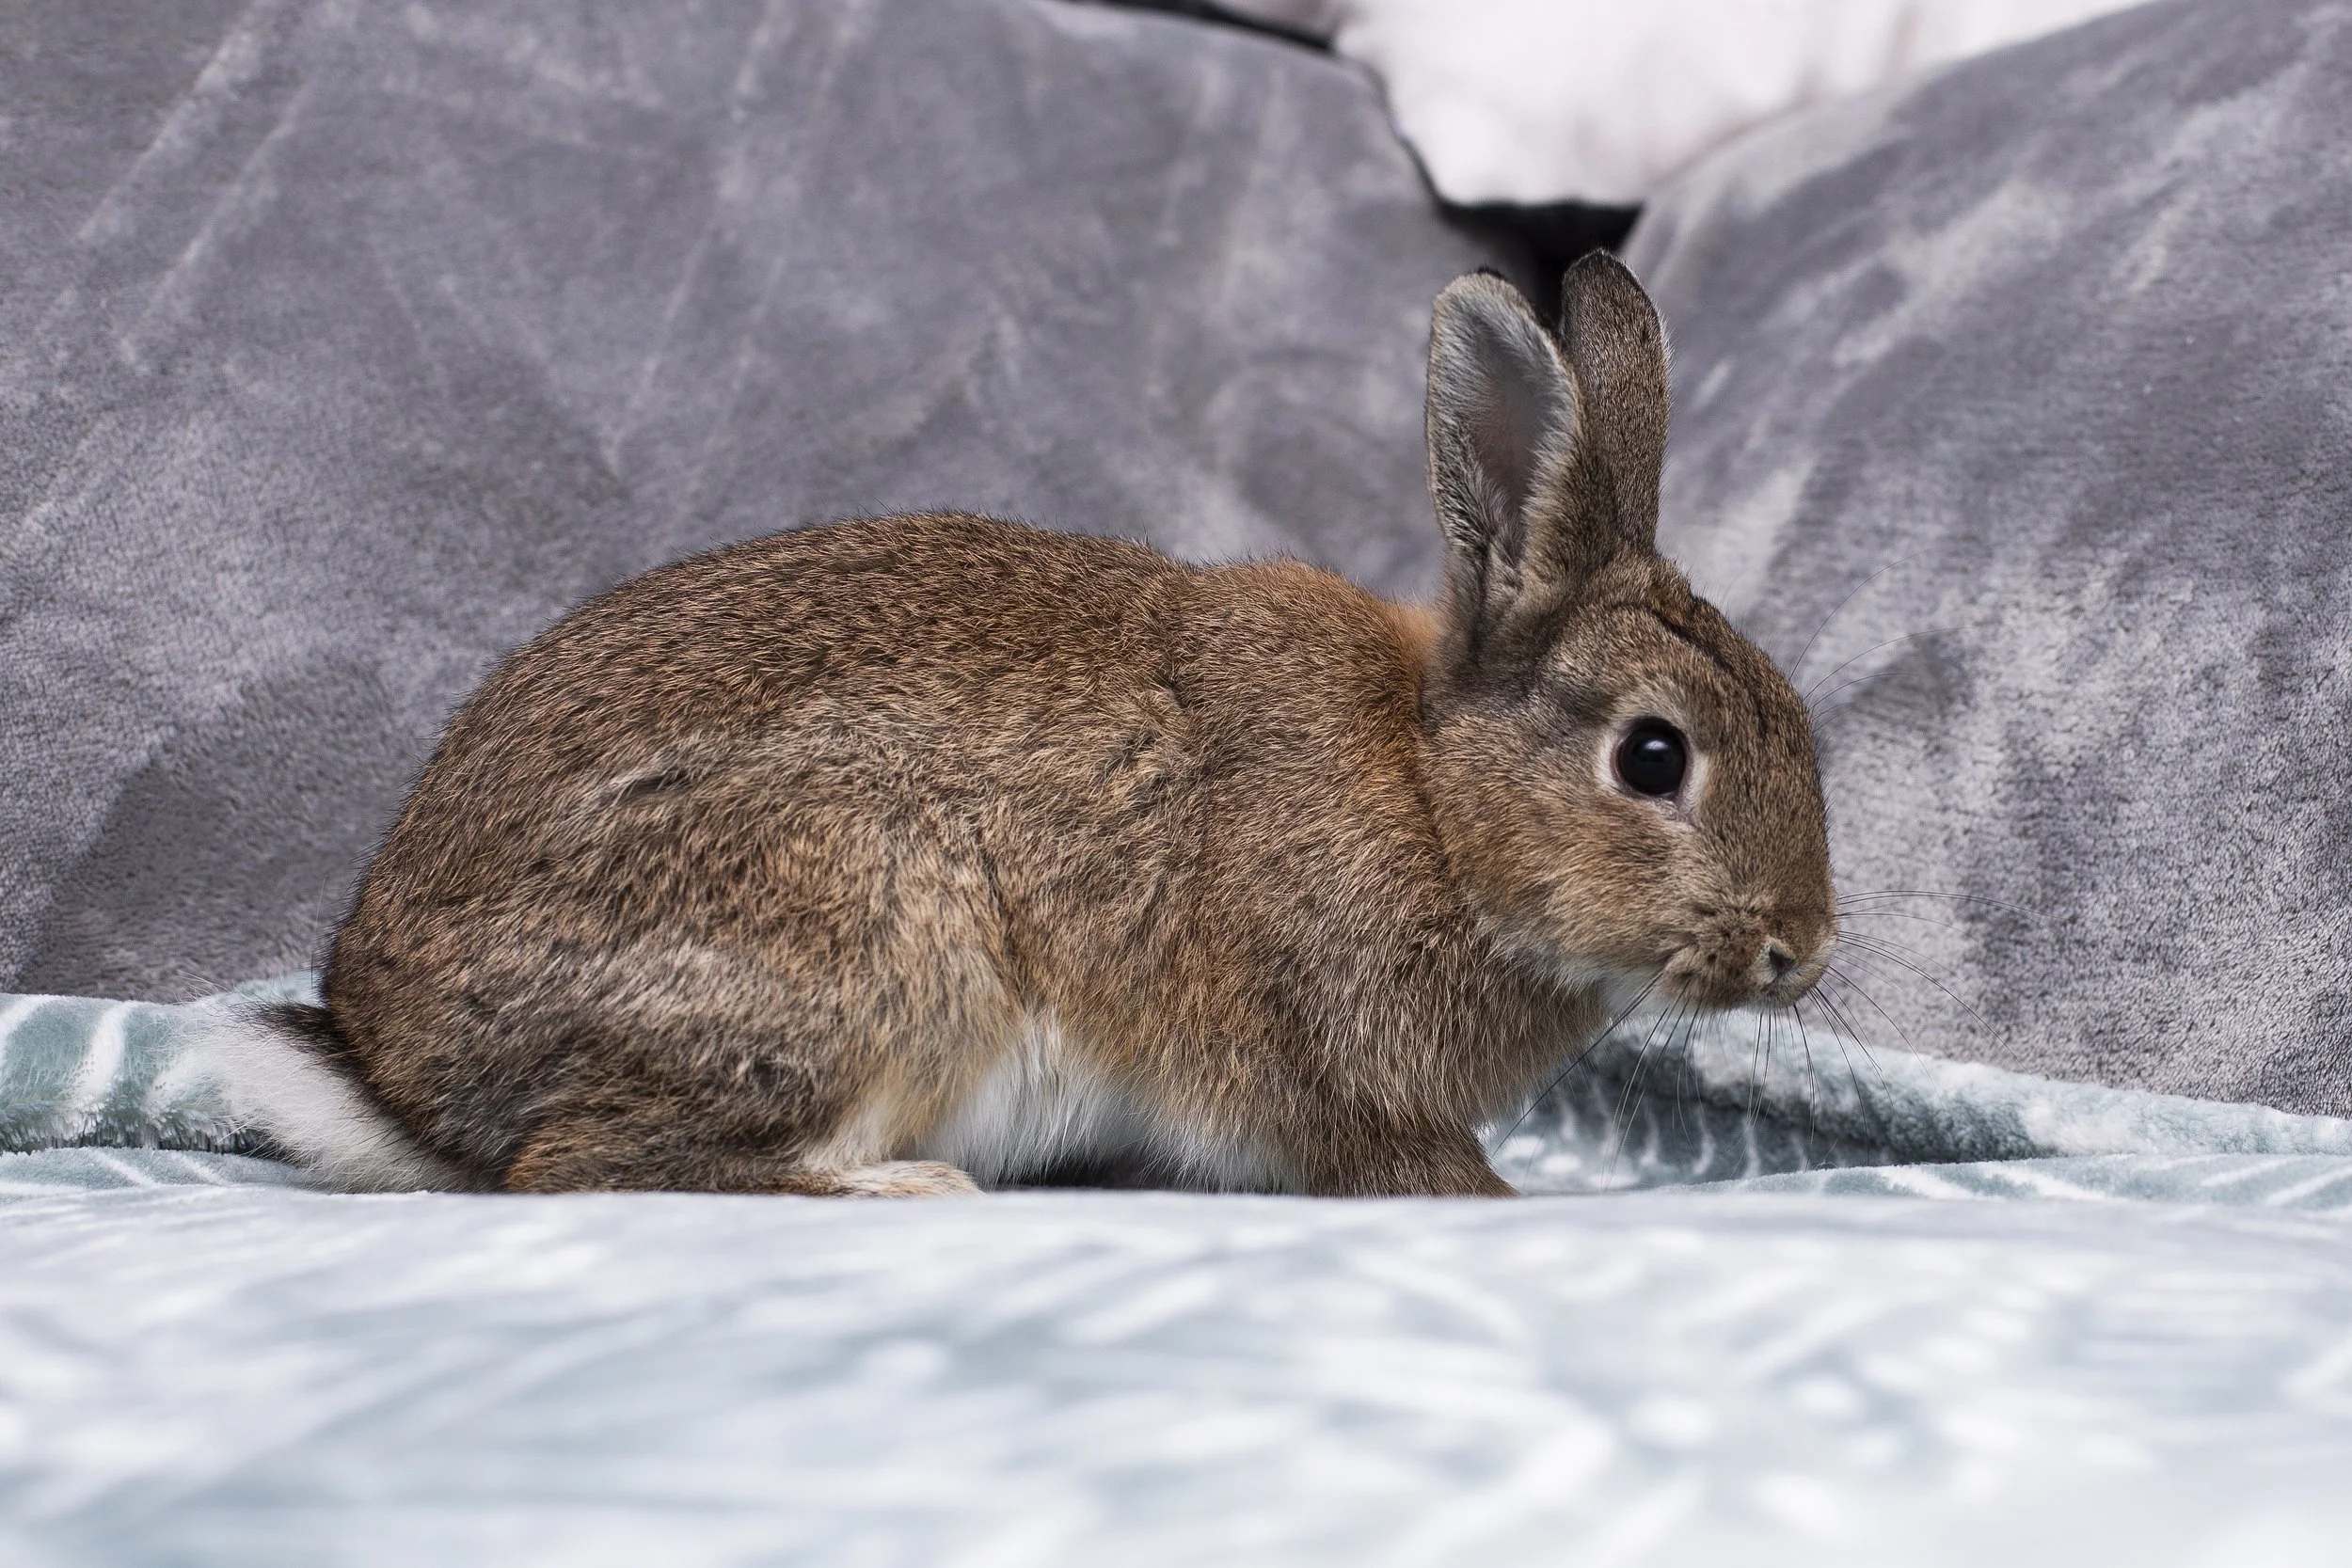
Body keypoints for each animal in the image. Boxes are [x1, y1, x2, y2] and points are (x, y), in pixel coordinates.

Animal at [211, 253, 1836, 1197]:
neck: (1438, 798)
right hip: (868, 940)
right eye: (1653, 755)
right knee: (586, 1162)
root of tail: (393, 1063)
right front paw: (1503, 1199)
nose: (1801, 948)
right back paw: (900, 1190)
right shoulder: (1324, 1060)